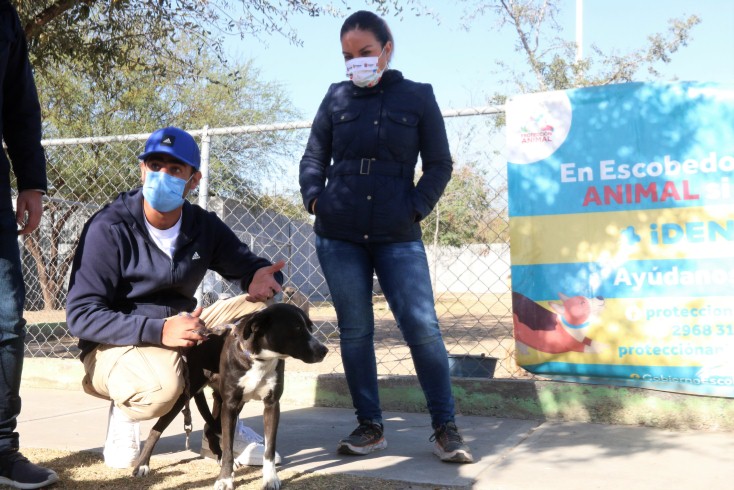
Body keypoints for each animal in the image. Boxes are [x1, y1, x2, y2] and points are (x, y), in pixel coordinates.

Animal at [131, 302, 330, 490]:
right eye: (296, 328)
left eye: (310, 327)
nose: (324, 350)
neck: (259, 359)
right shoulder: (231, 404)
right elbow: (228, 447)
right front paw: (225, 479)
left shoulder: (271, 405)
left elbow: (269, 449)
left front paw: (270, 478)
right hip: (185, 394)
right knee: (157, 429)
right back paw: (142, 465)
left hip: (225, 401)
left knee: (210, 427)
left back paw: (217, 454)